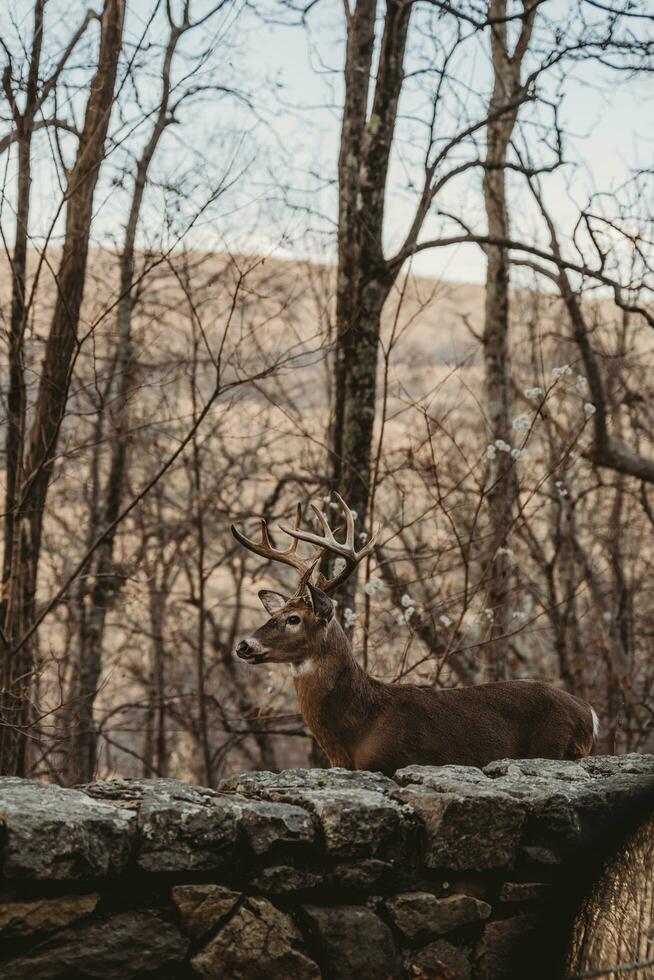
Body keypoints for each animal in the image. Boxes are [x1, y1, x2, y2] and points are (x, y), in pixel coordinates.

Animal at [232, 494, 600, 776]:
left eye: (294, 618)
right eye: (274, 614)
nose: (244, 645)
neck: (359, 728)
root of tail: (588, 712)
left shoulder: (394, 761)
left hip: (555, 747)